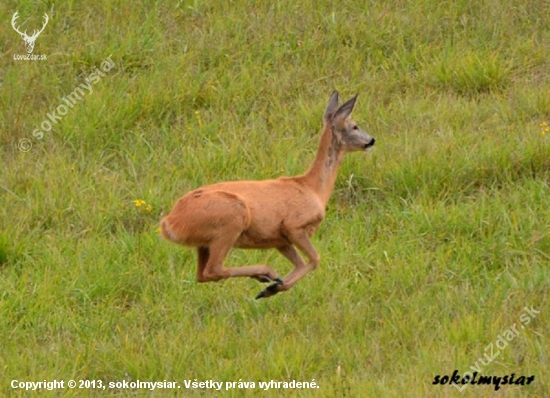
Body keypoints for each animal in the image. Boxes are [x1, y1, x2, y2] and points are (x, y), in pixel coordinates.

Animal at [160, 91, 376, 298]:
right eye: (355, 126)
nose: (371, 140)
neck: (313, 189)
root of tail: (169, 223)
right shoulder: (293, 225)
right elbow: (315, 259)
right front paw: (272, 287)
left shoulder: (279, 239)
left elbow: (300, 263)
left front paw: (274, 288)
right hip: (231, 220)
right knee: (214, 269)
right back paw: (266, 273)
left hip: (204, 242)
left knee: (202, 275)